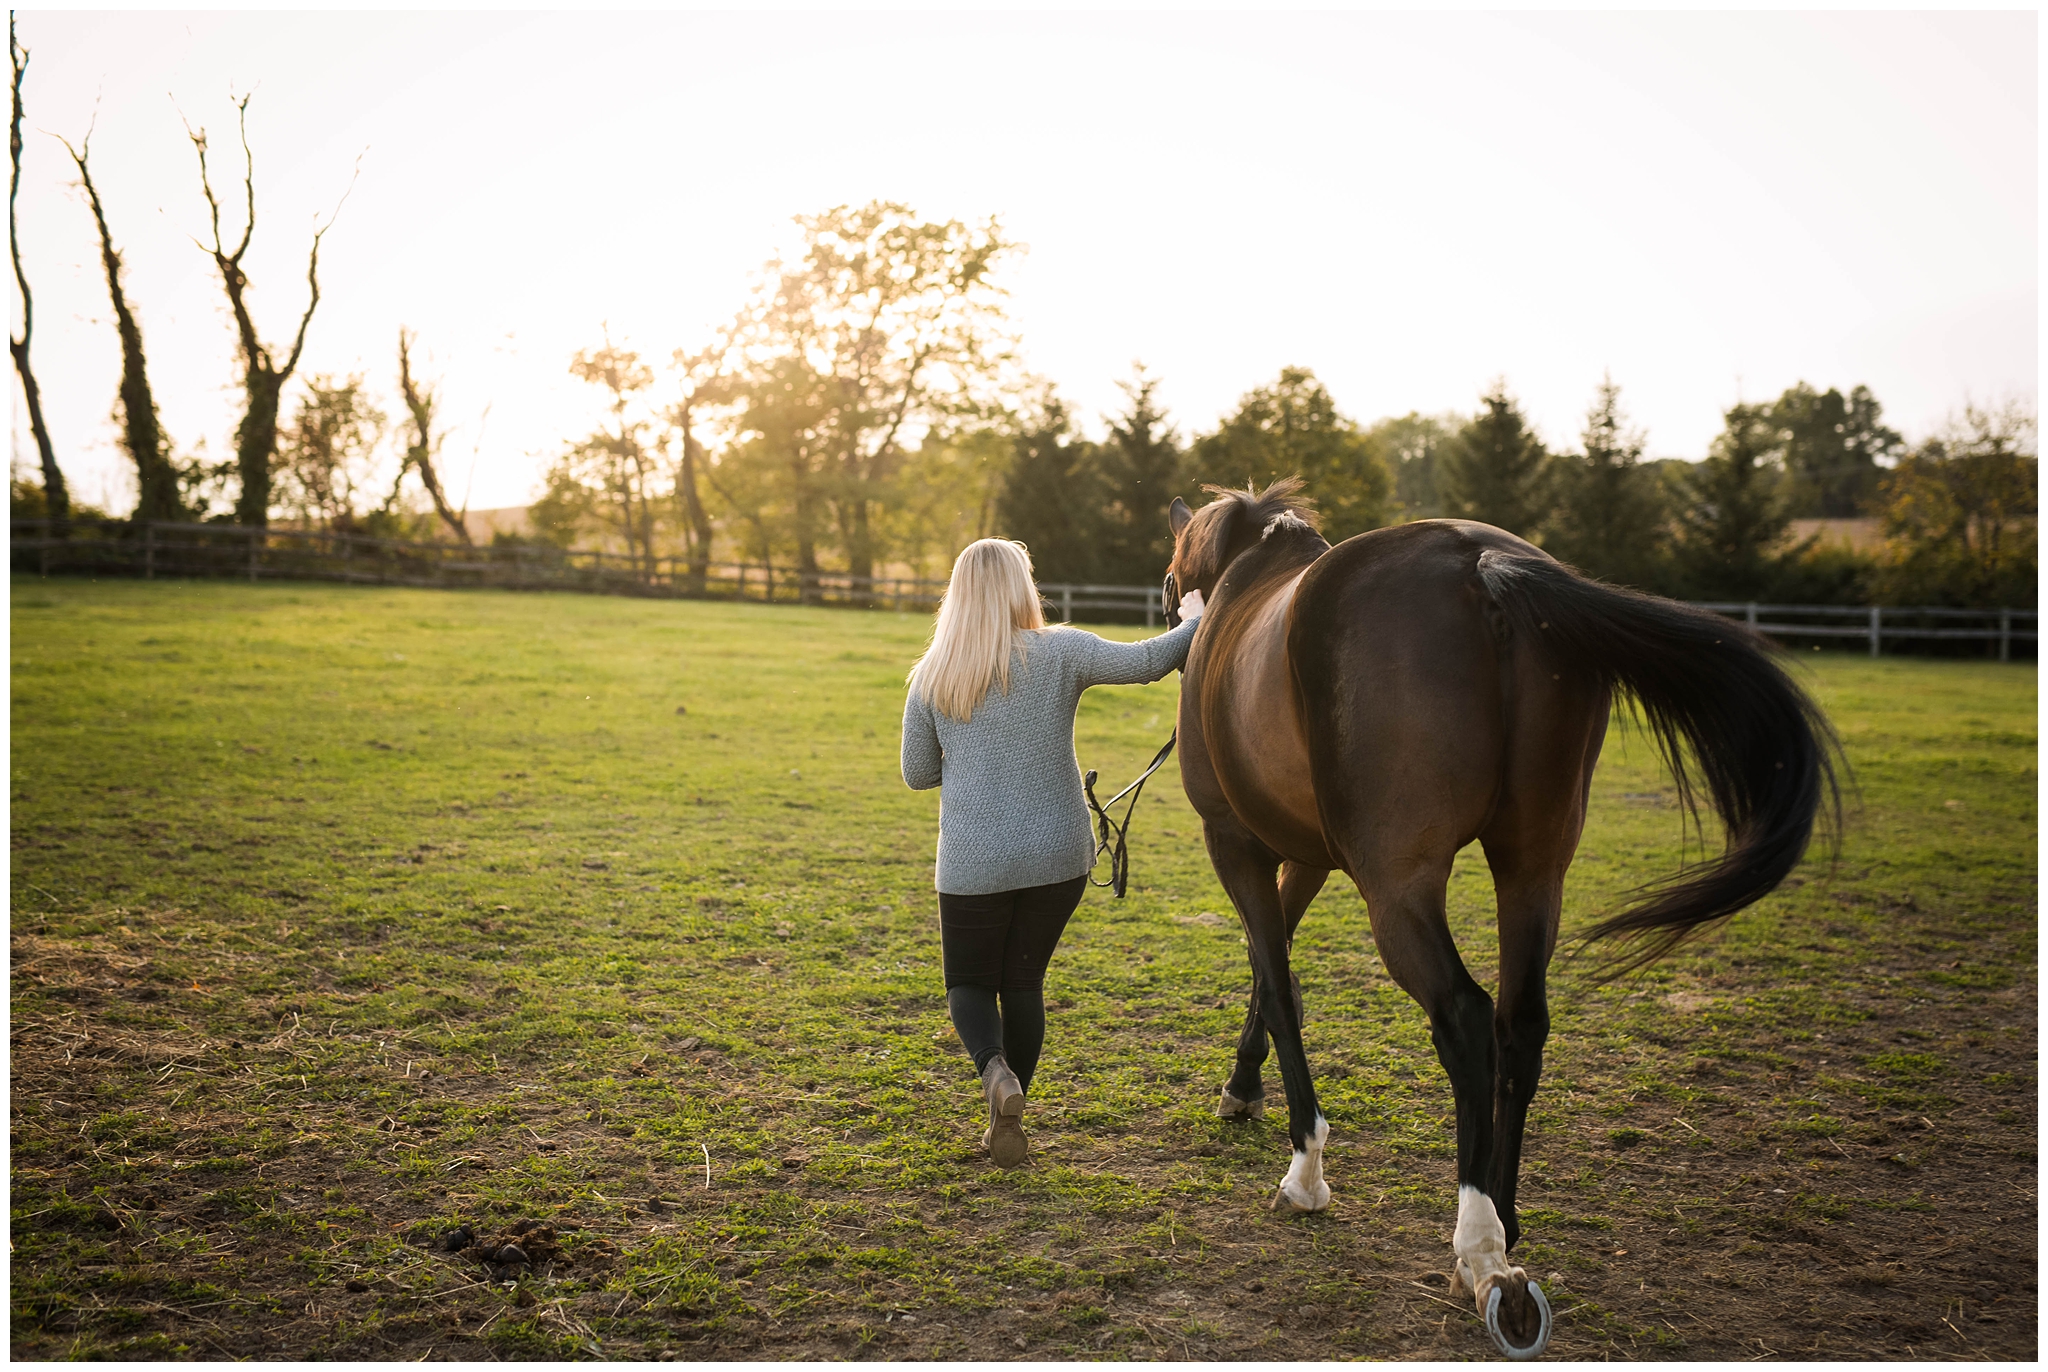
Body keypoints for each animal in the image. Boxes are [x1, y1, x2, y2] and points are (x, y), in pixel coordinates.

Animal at [1171, 479, 1843, 1359]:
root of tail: (1482, 563)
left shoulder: (1235, 842)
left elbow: (1279, 987)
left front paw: (1305, 1170)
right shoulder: (1306, 856)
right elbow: (1268, 964)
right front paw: (1242, 1088)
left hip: (1399, 885)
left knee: (1464, 1017)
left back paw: (1482, 1250)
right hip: (1531, 870)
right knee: (1520, 1023)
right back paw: (1502, 1220)